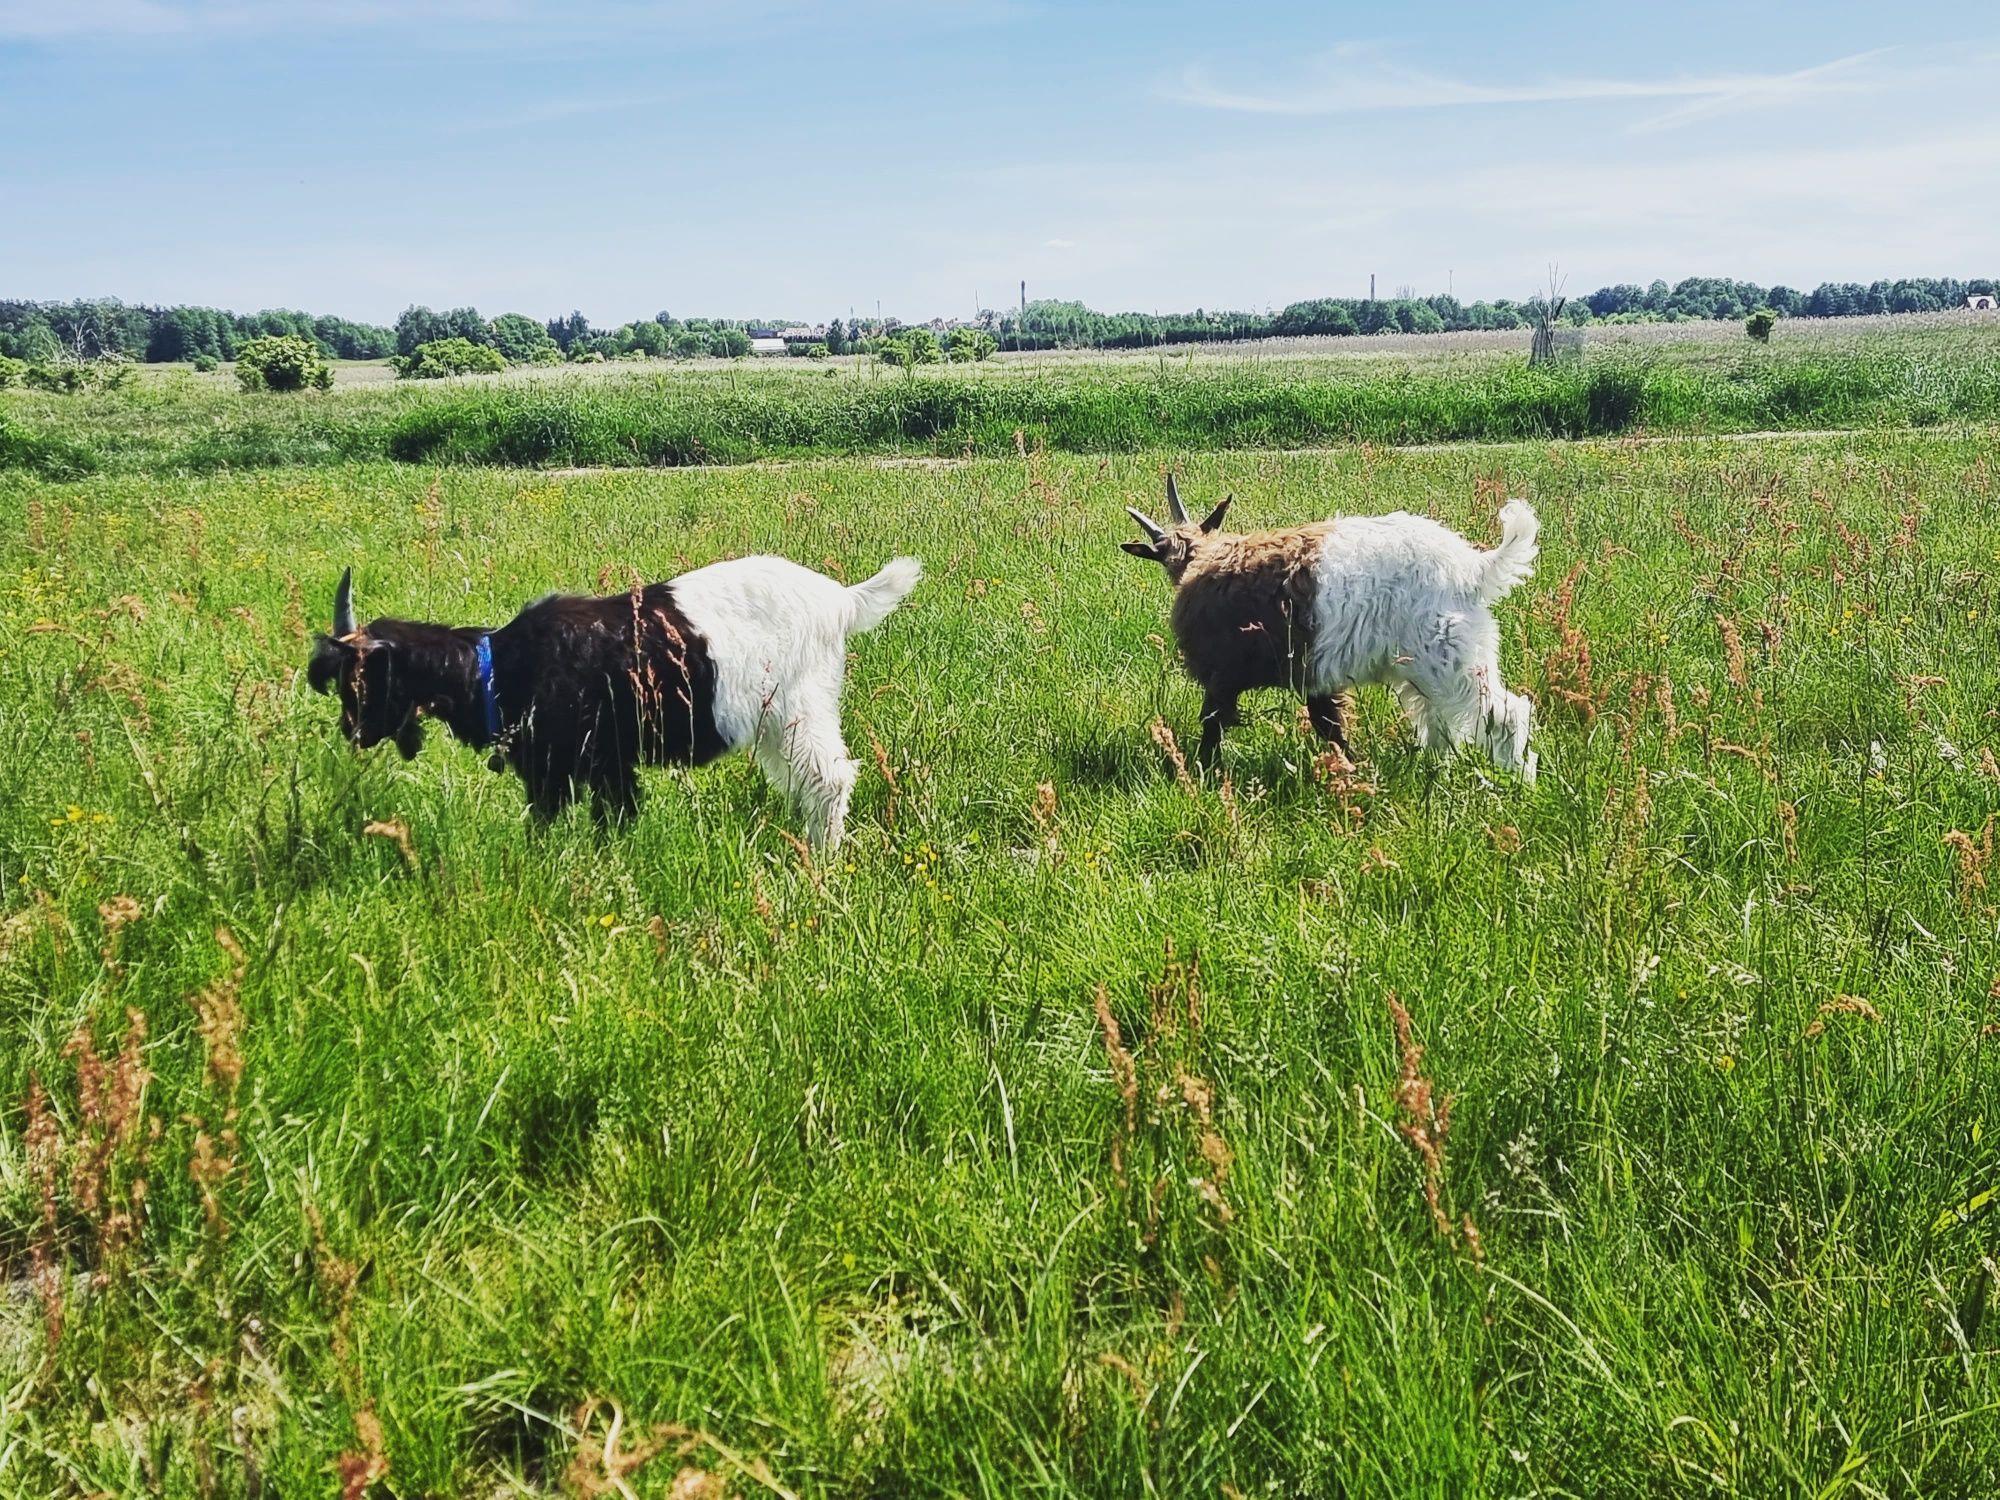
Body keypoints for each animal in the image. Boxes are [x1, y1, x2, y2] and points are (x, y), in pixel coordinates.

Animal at [304, 556, 920, 848]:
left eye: (360, 682)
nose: (351, 733)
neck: (498, 667)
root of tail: (839, 600)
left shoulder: (569, 768)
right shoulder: (605, 768)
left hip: (798, 704)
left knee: (831, 777)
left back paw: (823, 859)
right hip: (775, 719)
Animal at [1120, 478, 1536, 788]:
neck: (1202, 559)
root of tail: (1473, 568)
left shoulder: (1224, 676)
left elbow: (1213, 725)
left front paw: (1204, 774)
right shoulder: (1316, 677)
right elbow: (1329, 725)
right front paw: (1353, 769)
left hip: (1449, 655)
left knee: (1507, 712)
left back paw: (1518, 780)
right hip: (1428, 664)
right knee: (1440, 722)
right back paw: (1431, 768)